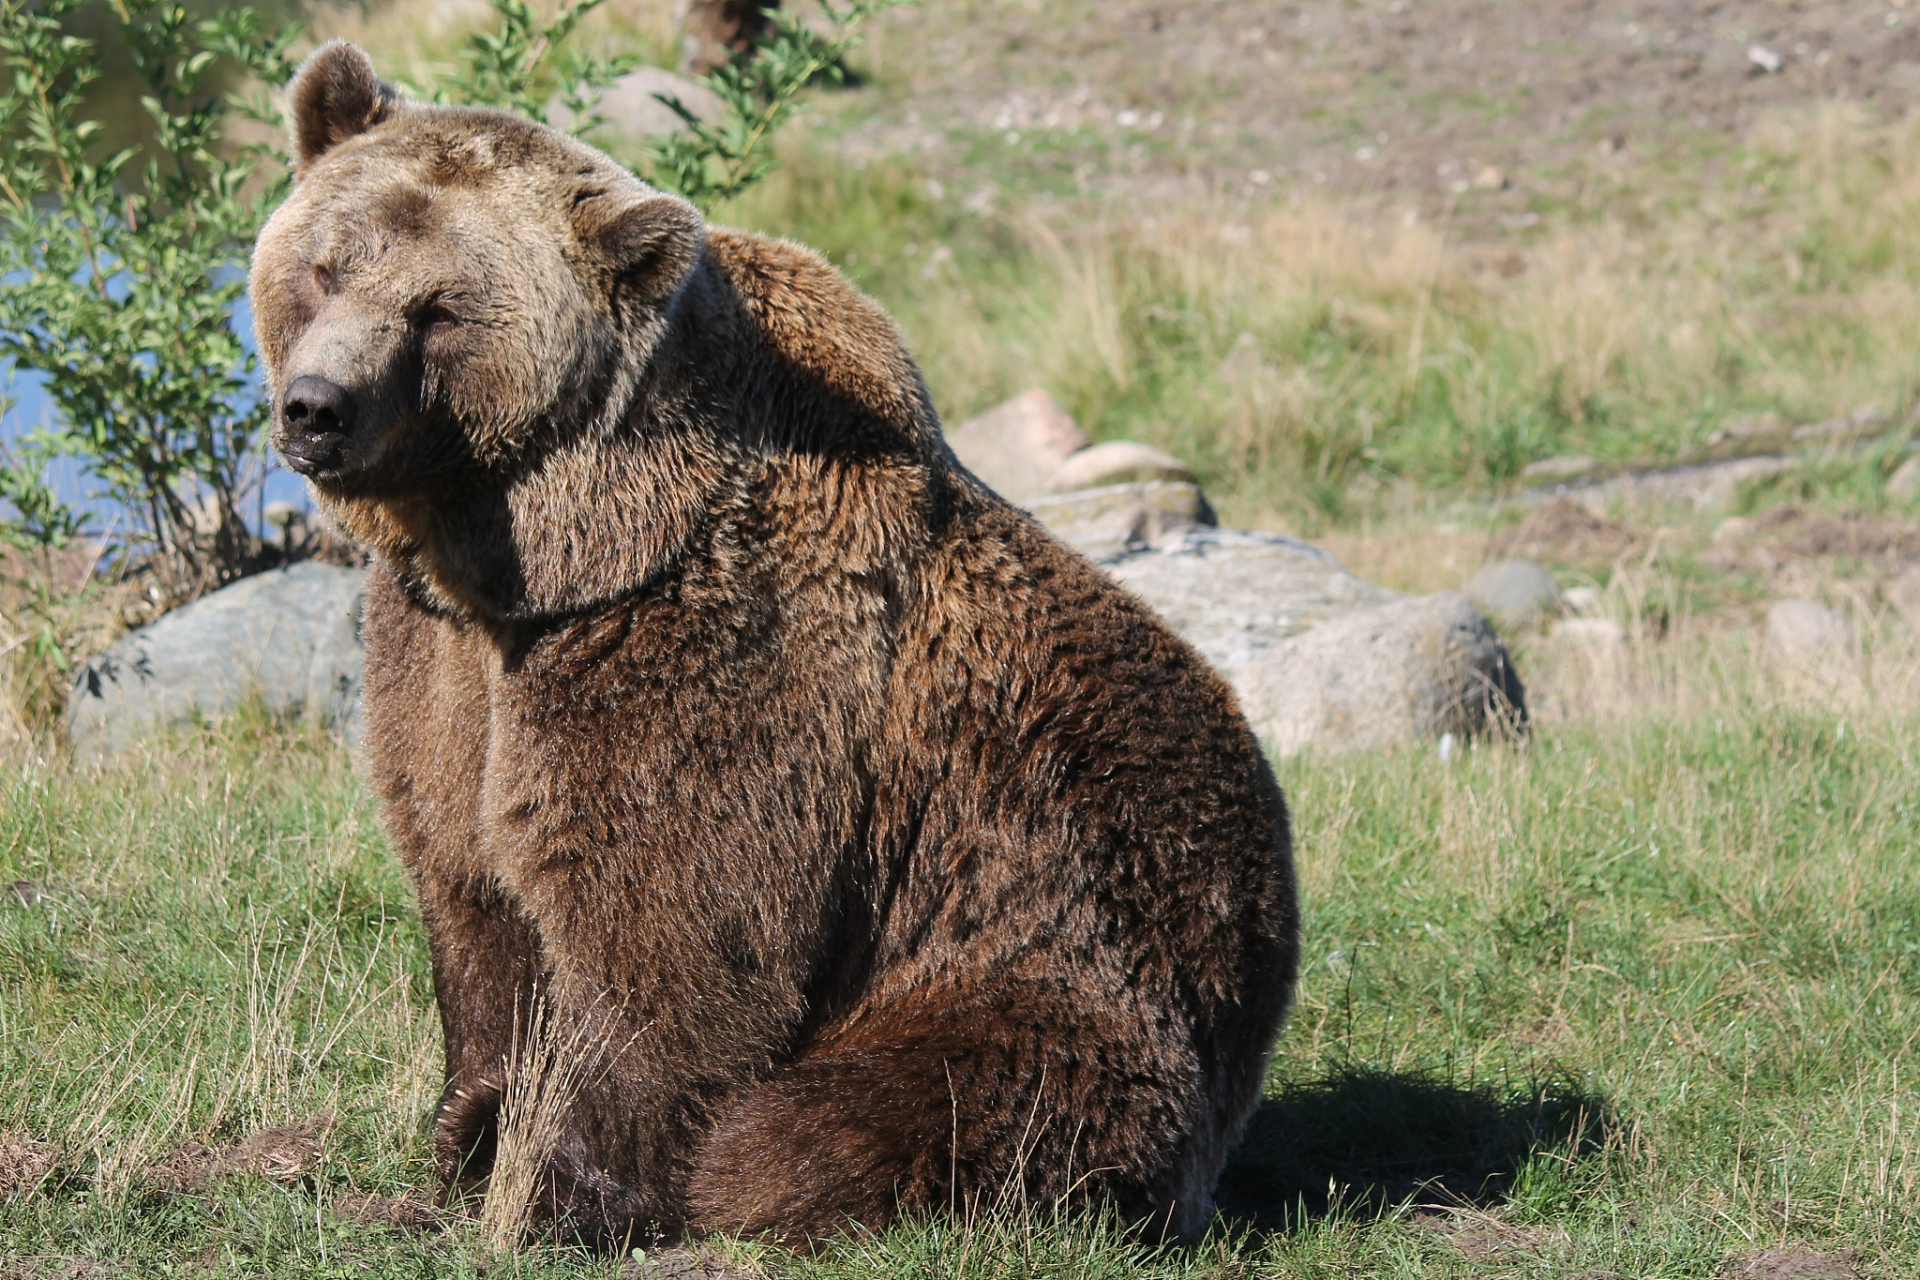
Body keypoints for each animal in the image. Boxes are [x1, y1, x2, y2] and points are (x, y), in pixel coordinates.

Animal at [255, 42, 1297, 1251]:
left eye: (439, 310)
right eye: (326, 267)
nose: (317, 407)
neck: (540, 550)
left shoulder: (709, 648)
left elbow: (669, 938)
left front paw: (563, 1188)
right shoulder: (441, 654)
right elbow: (467, 884)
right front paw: (467, 1129)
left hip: (1053, 959)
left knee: (856, 1116)